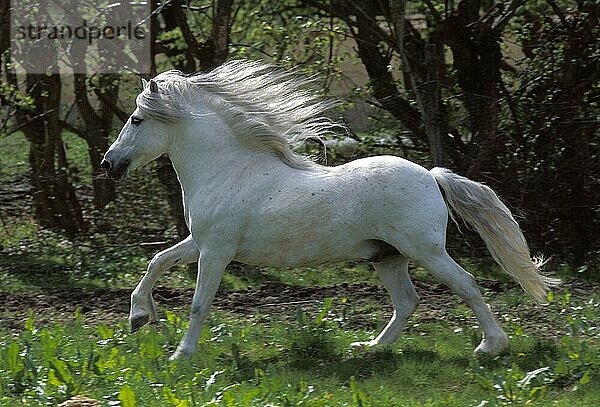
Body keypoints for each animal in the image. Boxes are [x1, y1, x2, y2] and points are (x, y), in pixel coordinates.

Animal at [102, 59, 556, 360]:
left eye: (137, 119)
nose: (109, 164)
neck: (229, 169)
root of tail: (431, 175)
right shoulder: (202, 242)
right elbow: (157, 262)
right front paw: (139, 316)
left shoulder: (216, 251)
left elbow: (199, 304)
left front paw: (180, 355)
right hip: (387, 257)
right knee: (407, 301)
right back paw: (370, 347)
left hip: (425, 251)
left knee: (467, 285)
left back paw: (490, 348)